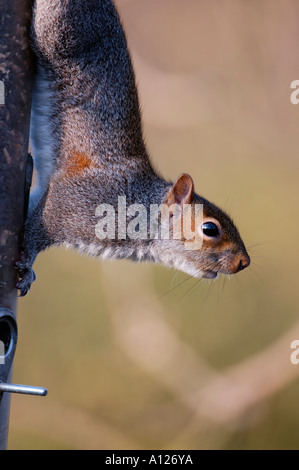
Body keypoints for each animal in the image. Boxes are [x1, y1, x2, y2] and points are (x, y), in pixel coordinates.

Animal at [16, 0, 251, 296]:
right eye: (210, 229)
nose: (245, 262)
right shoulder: (72, 204)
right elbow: (36, 230)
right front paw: (26, 266)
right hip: (59, 33)